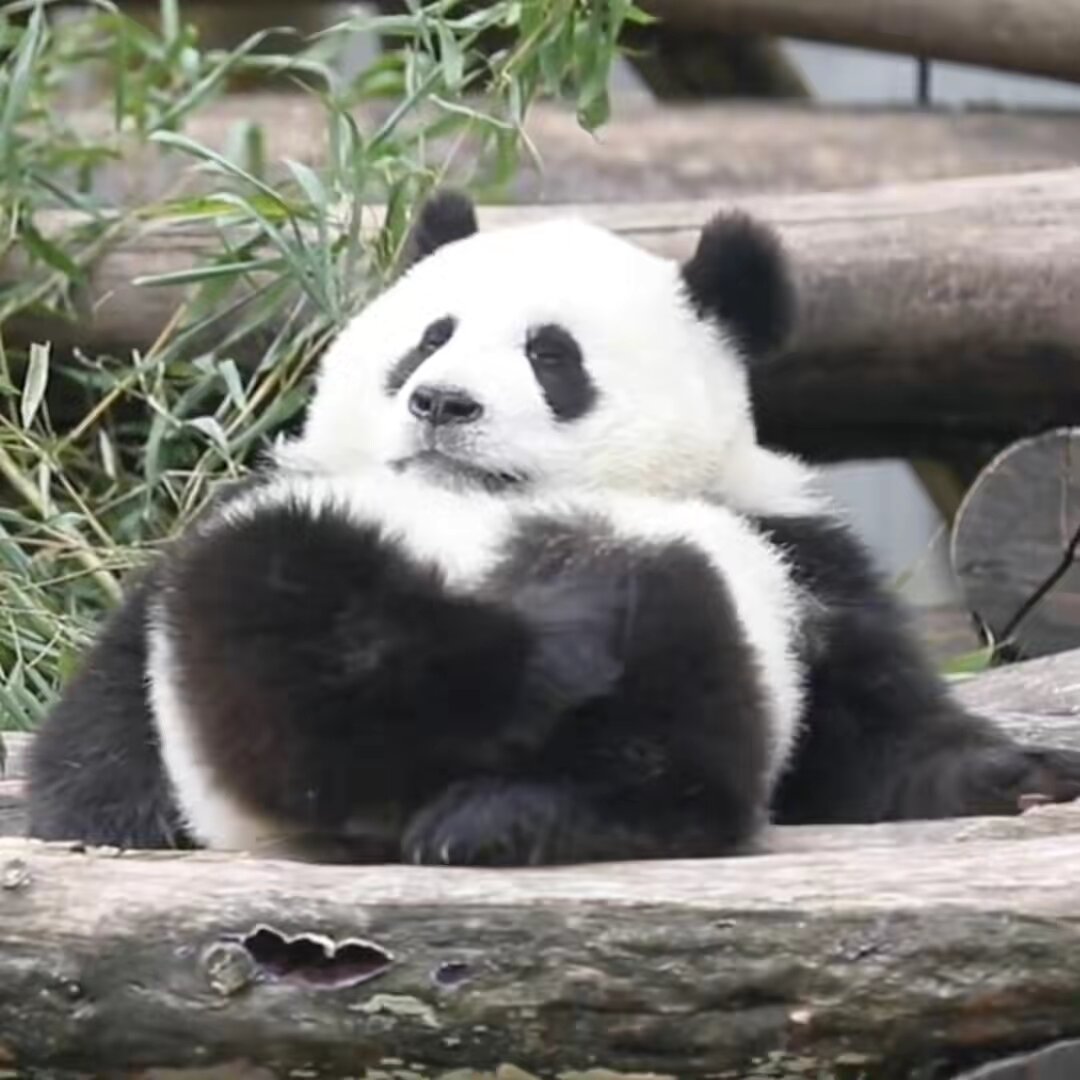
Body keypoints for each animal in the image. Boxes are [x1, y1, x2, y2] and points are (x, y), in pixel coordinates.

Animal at [26, 190, 1080, 865]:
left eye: (552, 356)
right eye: (430, 336)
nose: (442, 403)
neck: (473, 513)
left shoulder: (788, 547)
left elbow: (875, 731)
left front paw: (1014, 776)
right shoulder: (274, 499)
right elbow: (105, 716)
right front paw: (121, 812)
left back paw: (509, 807)